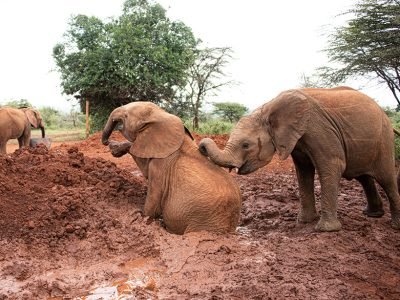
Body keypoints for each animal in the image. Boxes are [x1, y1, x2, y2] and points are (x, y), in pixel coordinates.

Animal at [101, 102, 242, 236]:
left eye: (126, 116)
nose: (106, 142)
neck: (161, 115)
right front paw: (116, 148)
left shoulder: (160, 166)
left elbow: (153, 202)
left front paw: (139, 215)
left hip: (204, 223)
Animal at [200, 86, 400, 232]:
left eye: (245, 145)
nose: (201, 147)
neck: (268, 108)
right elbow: (303, 172)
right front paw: (304, 221)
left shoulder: (319, 130)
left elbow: (332, 165)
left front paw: (325, 230)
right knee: (364, 177)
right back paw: (372, 215)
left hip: (384, 140)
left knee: (386, 179)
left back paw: (394, 225)